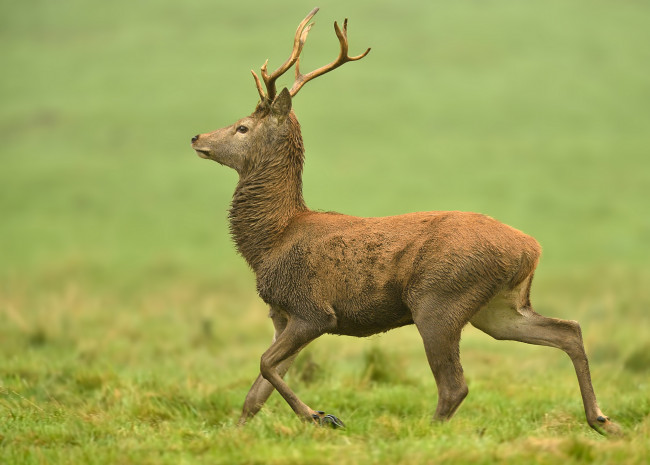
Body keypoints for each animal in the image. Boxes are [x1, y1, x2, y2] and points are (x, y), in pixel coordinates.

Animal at [189, 6, 616, 436]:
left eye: (243, 126)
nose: (196, 138)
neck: (270, 240)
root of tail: (532, 248)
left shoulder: (313, 309)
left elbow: (264, 364)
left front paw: (322, 416)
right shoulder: (282, 314)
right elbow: (256, 392)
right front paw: (240, 432)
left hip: (439, 300)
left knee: (455, 385)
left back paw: (429, 432)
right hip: (499, 307)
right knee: (568, 329)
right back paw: (602, 419)